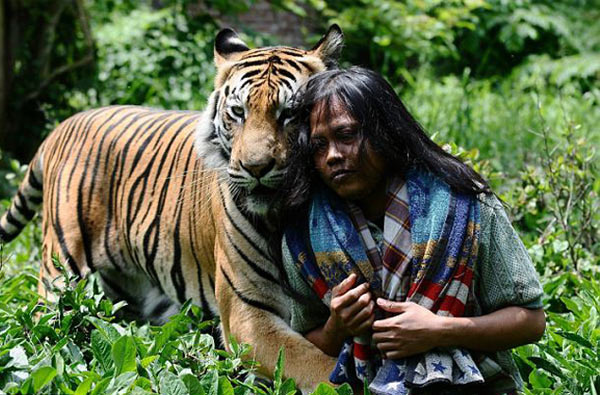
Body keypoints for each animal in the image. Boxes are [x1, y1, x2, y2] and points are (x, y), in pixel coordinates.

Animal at [0, 25, 342, 392]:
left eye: (290, 113)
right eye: (238, 112)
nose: (256, 167)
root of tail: (64, 124)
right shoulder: (247, 315)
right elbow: (315, 366)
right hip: (60, 273)